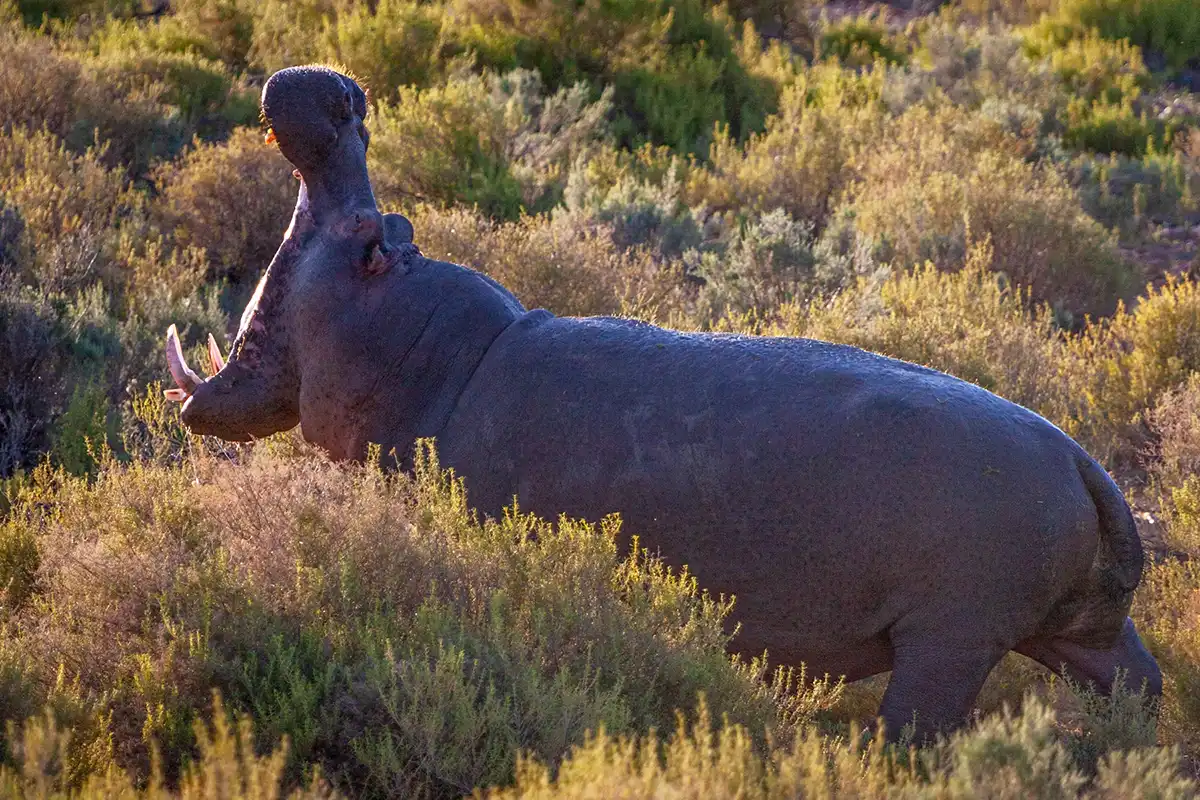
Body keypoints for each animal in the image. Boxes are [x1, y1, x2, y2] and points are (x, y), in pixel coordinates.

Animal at [164, 64, 1156, 743]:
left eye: (372, 235)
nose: (342, 94)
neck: (436, 358)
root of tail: (1085, 462)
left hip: (949, 642)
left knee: (916, 731)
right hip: (1084, 640)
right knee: (1138, 688)